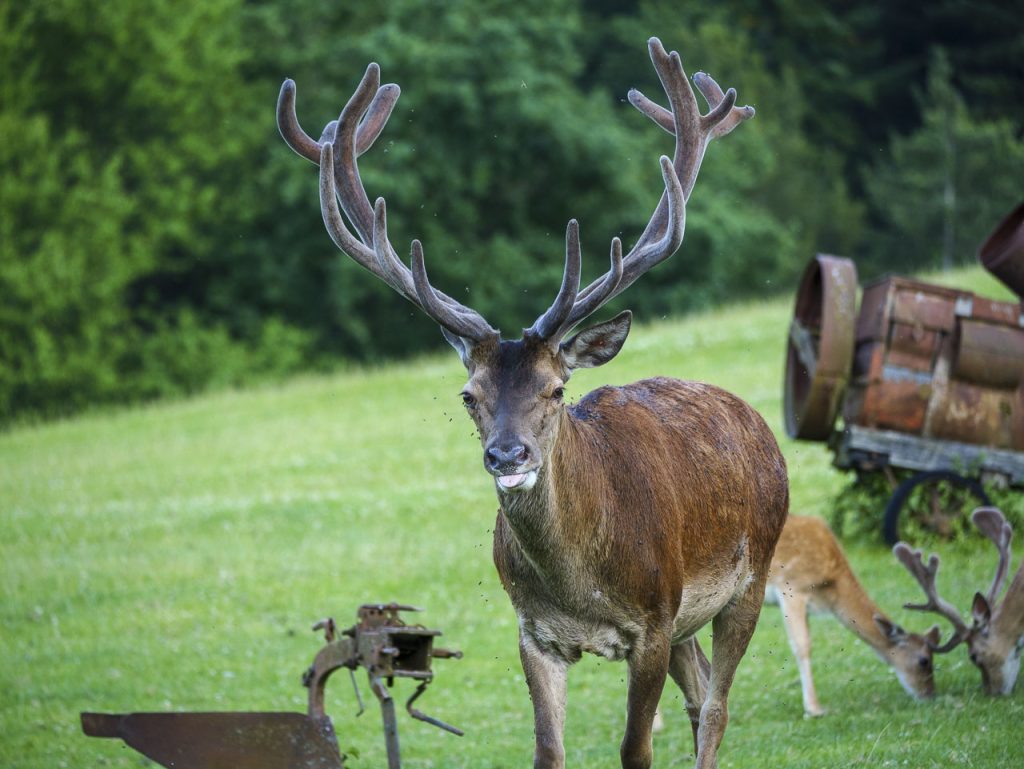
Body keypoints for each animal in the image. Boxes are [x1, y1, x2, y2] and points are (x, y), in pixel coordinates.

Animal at [276, 38, 789, 769]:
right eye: (469, 394)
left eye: (556, 388)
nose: (507, 454)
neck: (584, 588)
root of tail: (755, 420)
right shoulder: (534, 633)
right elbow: (548, 750)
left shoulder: (653, 621)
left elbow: (636, 749)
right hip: (690, 619)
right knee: (697, 701)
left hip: (750, 574)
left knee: (716, 709)